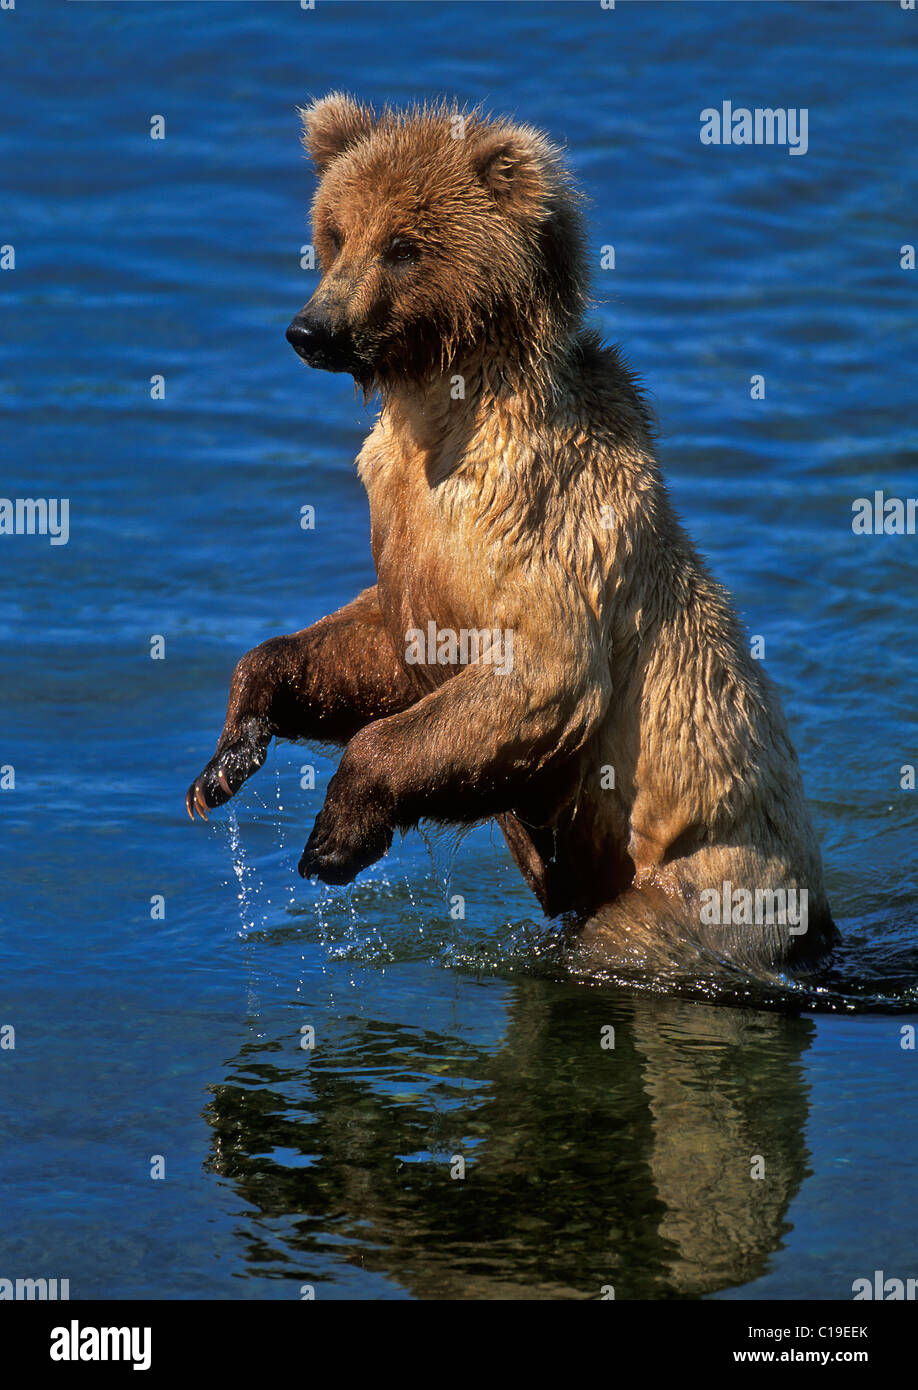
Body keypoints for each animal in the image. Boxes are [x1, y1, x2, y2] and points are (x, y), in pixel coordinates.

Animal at [186, 94, 836, 975]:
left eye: (404, 246)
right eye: (336, 232)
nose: (311, 329)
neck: (443, 411)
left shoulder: (535, 526)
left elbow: (542, 671)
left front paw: (333, 838)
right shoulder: (413, 537)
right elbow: (378, 644)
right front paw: (224, 760)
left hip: (708, 892)